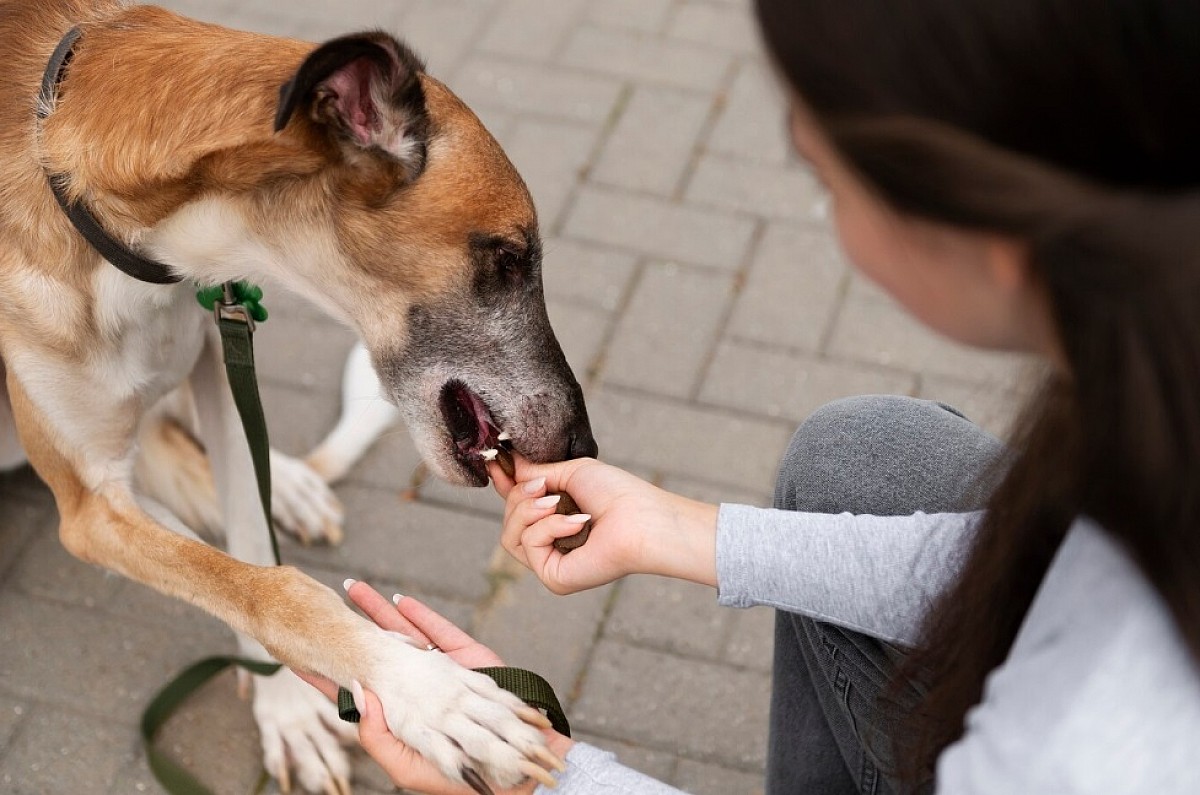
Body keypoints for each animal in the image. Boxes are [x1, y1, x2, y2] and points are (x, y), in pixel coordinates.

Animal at [0, 3, 597, 792]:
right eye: (508, 258)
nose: (584, 445)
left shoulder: (215, 354)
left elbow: (252, 546)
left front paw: (288, 705)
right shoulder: (90, 506)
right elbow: (266, 586)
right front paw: (431, 696)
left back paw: (290, 485)